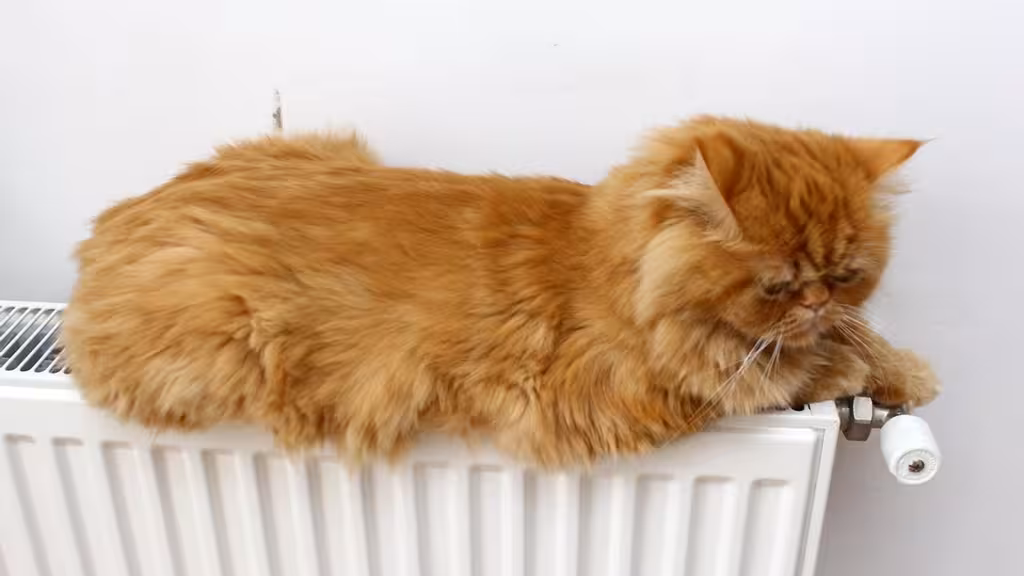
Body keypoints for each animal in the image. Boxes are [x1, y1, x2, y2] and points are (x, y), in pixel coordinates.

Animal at [63, 117, 940, 466]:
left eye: (846, 274)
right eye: (777, 284)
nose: (819, 303)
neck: (610, 262)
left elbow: (856, 346)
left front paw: (903, 366)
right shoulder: (646, 385)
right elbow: (796, 368)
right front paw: (878, 369)